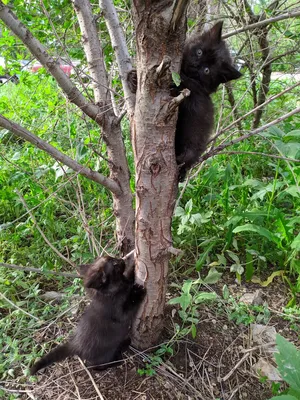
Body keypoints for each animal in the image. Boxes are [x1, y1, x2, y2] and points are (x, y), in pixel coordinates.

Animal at [126, 20, 241, 180]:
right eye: (199, 52)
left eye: (206, 70)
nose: (196, 65)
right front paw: (133, 78)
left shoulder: (196, 92)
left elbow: (186, 83)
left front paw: (177, 82)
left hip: (194, 143)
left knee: (189, 156)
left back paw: (181, 168)